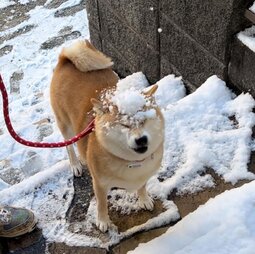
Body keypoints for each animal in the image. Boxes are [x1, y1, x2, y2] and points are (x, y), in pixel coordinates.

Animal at [50, 40, 164, 232]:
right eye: (124, 125)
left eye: (143, 121)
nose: (141, 139)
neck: (131, 162)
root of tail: (65, 59)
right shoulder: (100, 184)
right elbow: (102, 204)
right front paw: (103, 221)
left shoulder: (143, 175)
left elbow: (142, 186)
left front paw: (144, 199)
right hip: (65, 124)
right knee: (68, 146)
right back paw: (75, 164)